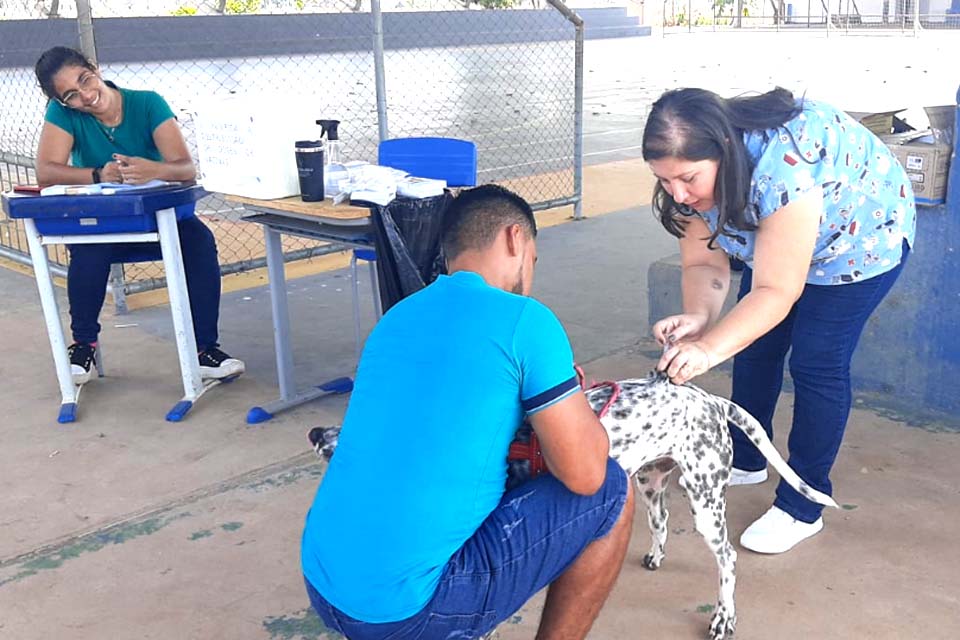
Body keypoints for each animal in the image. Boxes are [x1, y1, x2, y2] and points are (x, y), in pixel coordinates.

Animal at [312, 370, 836, 640]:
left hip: (706, 501)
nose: (316, 433)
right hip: (649, 483)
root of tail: (709, 399)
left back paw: (724, 616)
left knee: (727, 559)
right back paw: (656, 555)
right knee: (662, 521)